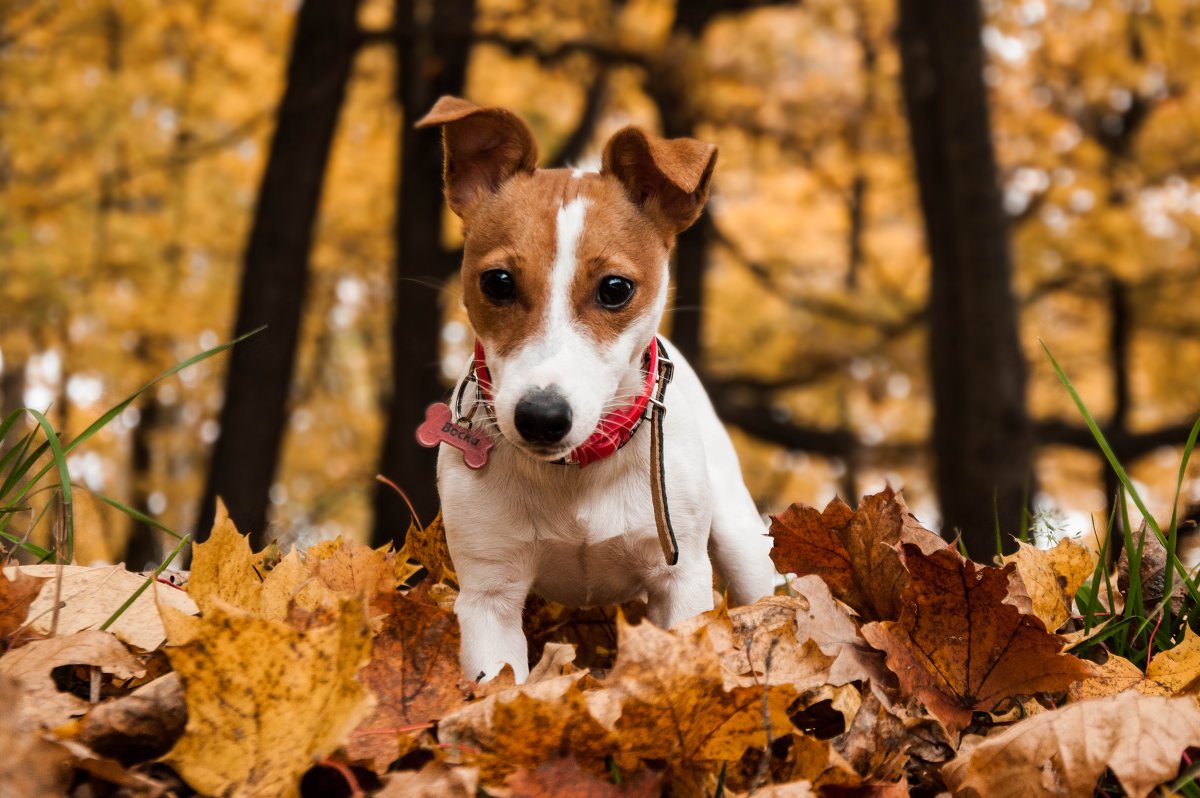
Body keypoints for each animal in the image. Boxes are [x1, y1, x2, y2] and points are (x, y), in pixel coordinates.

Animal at [415, 93, 777, 676]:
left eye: (615, 289)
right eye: (497, 282)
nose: (541, 417)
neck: (576, 472)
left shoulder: (679, 580)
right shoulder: (489, 597)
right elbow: (500, 680)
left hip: (740, 540)